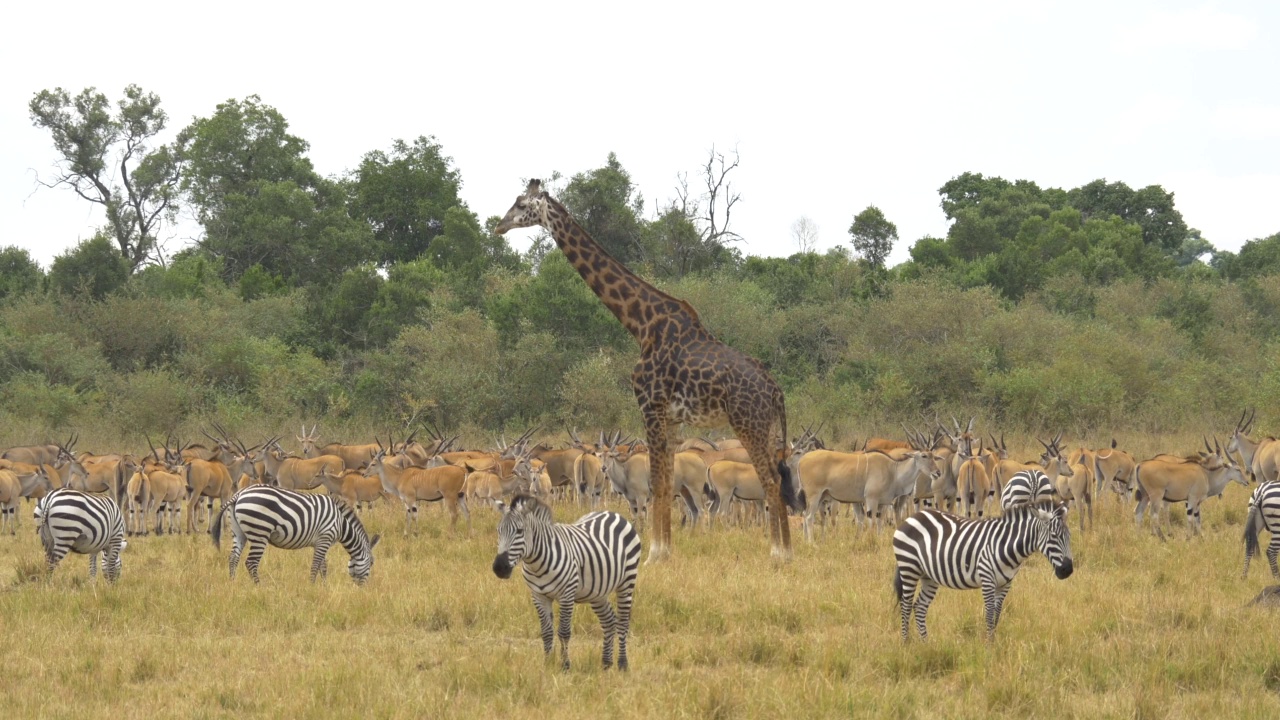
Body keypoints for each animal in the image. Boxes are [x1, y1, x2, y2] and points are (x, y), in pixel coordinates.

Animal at [208, 481, 378, 584]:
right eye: (371, 563)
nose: (363, 589)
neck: (341, 523)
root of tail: (239, 494)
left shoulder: (322, 541)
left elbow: (323, 566)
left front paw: (324, 586)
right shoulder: (325, 537)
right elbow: (316, 565)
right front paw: (312, 586)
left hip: (239, 532)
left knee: (233, 558)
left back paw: (232, 582)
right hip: (260, 531)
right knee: (251, 562)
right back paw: (259, 586)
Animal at [491, 179, 798, 561]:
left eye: (521, 204)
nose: (499, 225)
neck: (640, 324)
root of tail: (776, 390)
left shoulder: (649, 406)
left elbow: (659, 484)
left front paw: (655, 553)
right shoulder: (671, 418)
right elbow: (664, 484)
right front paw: (665, 551)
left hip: (747, 423)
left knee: (770, 479)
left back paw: (779, 553)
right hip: (766, 428)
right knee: (776, 477)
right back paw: (787, 550)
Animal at [494, 491, 645, 666]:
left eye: (519, 531)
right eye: (499, 530)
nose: (499, 567)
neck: (537, 564)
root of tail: (613, 513)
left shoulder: (567, 594)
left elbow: (564, 632)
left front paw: (565, 665)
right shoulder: (538, 596)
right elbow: (546, 632)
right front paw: (547, 664)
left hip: (627, 580)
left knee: (622, 623)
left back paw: (622, 663)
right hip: (597, 591)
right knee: (609, 621)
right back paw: (606, 663)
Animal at [896, 499, 1075, 638]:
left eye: (1069, 536)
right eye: (1054, 536)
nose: (1067, 570)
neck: (1005, 545)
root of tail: (913, 516)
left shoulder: (1005, 583)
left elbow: (997, 614)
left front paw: (993, 644)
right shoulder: (987, 578)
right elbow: (989, 614)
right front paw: (988, 647)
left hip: (929, 576)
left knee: (919, 607)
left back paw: (925, 644)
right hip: (908, 568)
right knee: (905, 606)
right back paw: (906, 644)